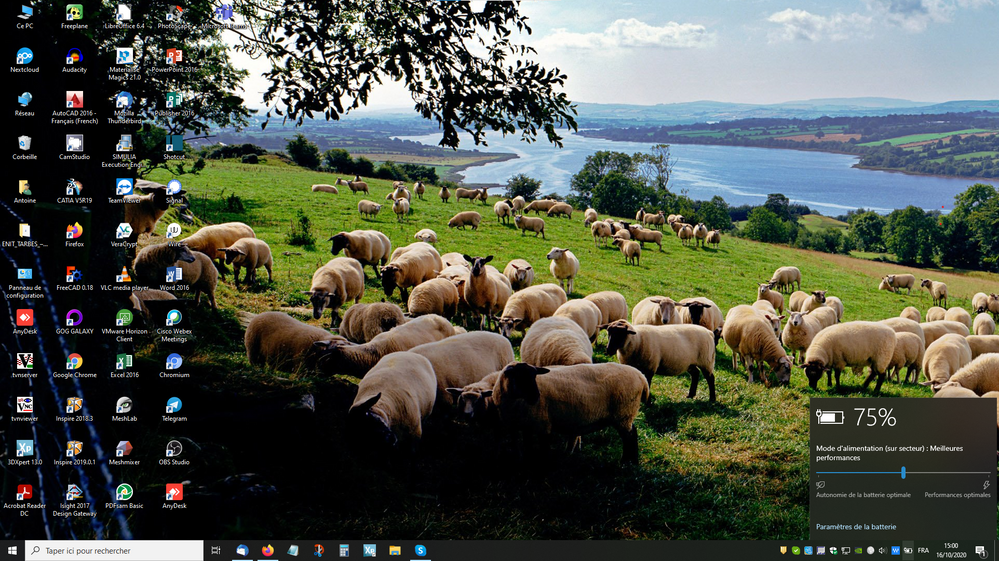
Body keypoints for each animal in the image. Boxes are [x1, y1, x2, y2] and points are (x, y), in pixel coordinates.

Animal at [490, 360, 648, 462]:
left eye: (534, 376)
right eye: (519, 377)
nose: (536, 397)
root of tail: (641, 376)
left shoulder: (543, 424)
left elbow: (544, 449)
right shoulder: (525, 426)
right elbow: (527, 446)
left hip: (623, 414)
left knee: (630, 436)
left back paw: (627, 461)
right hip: (625, 415)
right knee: (632, 433)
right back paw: (631, 461)